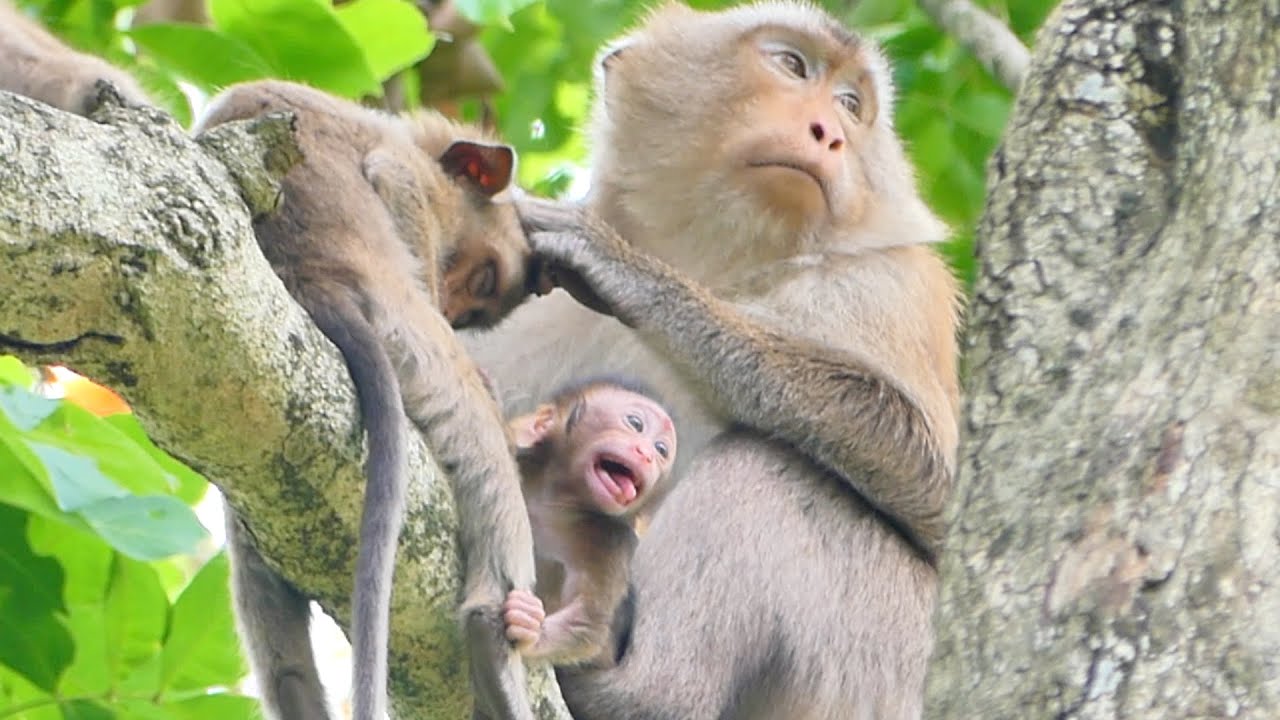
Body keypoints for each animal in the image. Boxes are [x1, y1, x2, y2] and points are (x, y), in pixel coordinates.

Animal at [192, 80, 540, 720]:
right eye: (480, 280)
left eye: (474, 306)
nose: (447, 310)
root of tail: (315, 274)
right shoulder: (412, 182)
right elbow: (391, 180)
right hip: (403, 327)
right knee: (475, 422)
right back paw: (491, 633)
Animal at [500, 377, 677, 669]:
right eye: (635, 423)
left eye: (661, 449)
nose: (647, 454)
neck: (556, 505)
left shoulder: (613, 541)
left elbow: (588, 619)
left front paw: (530, 633)